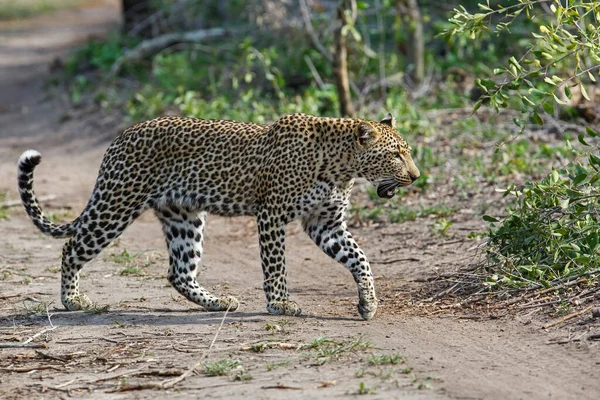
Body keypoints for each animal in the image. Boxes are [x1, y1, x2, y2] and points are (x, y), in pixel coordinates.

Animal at [19, 111, 422, 318]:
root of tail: (119, 138)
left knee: (179, 272)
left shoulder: (325, 224)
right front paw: (280, 303)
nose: (416, 176)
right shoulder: (272, 214)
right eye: (395, 154)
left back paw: (218, 303)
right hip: (116, 204)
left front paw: (368, 303)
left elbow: (360, 258)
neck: (341, 167)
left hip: (184, 217)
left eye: (407, 152)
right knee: (72, 247)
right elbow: (276, 264)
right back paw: (72, 300)